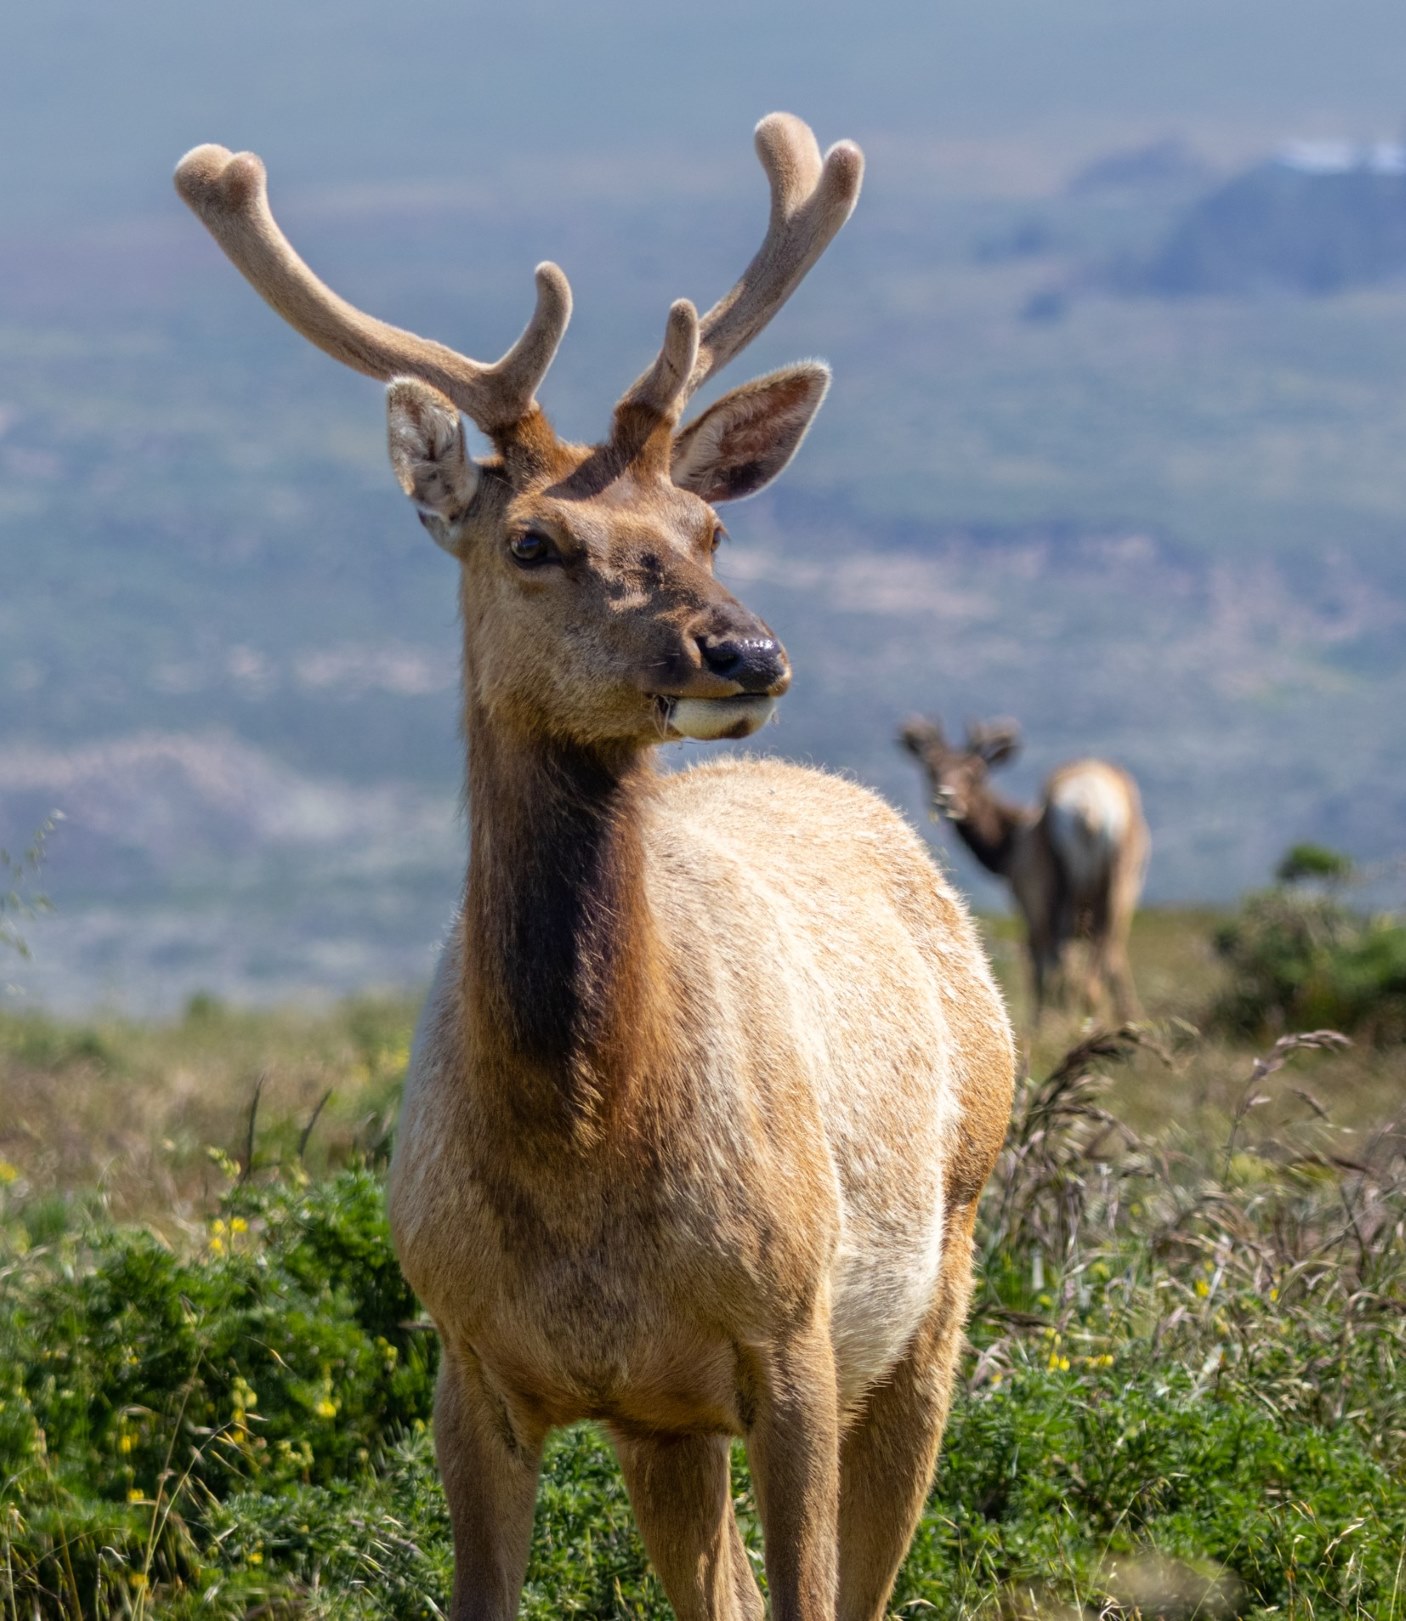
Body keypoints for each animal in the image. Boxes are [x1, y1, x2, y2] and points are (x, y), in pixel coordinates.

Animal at [175, 115, 1016, 1621]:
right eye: (532, 539)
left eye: (707, 527)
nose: (746, 652)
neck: (580, 1157)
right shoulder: (466, 1362)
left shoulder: (791, 1335)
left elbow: (811, 1591)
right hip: (664, 1421)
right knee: (714, 1583)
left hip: (946, 1261)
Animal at [900, 716, 1149, 1022]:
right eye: (932, 769)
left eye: (975, 772)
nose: (946, 798)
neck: (1006, 847)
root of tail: (1088, 809)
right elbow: (1117, 966)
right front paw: (1132, 1017)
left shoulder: (1025, 894)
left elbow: (1036, 960)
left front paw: (1039, 1021)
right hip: (1121, 879)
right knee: (1108, 948)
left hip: (1055, 887)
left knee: (1058, 956)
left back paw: (1063, 1020)